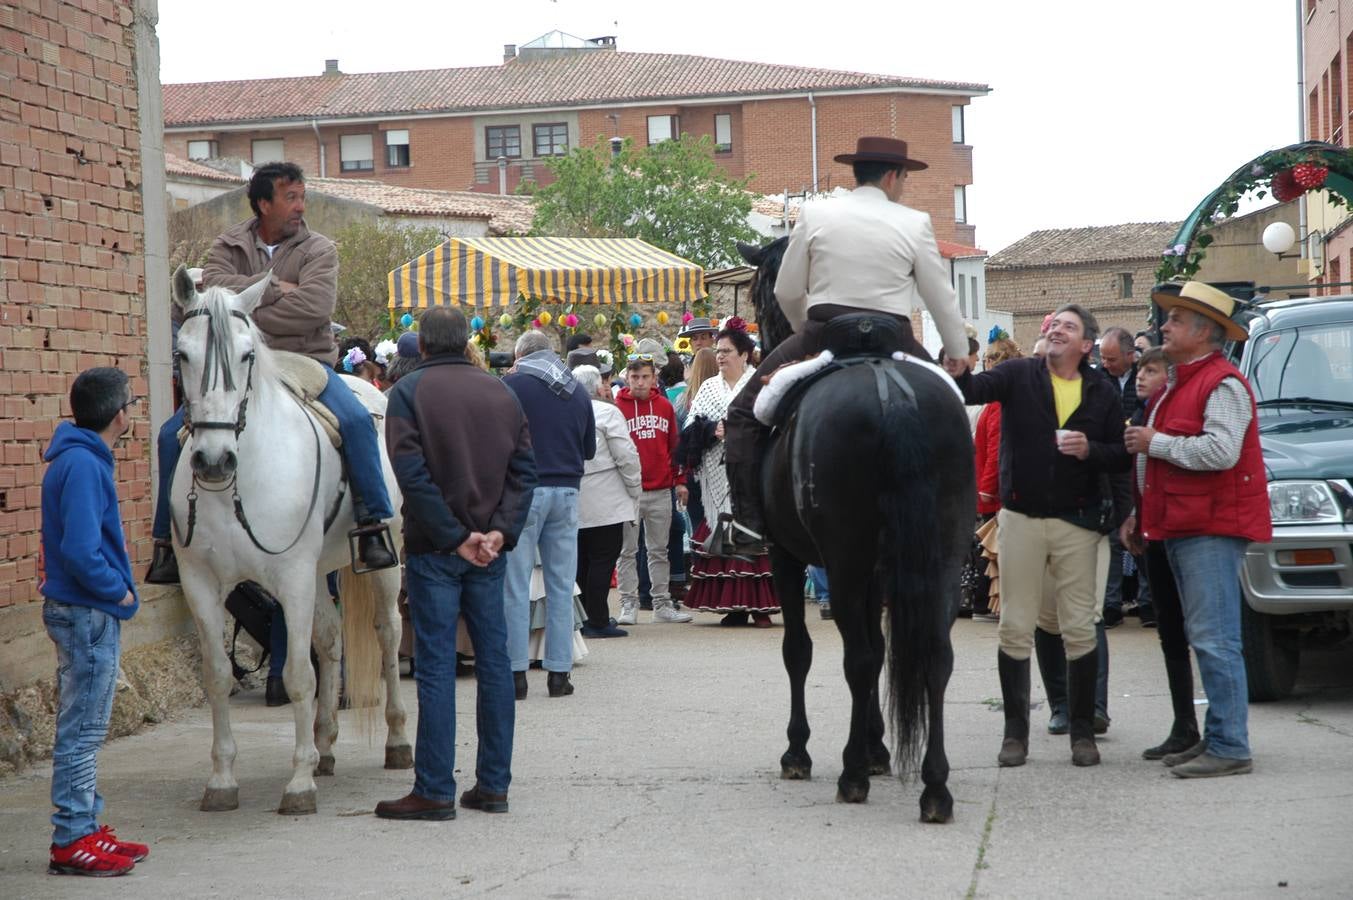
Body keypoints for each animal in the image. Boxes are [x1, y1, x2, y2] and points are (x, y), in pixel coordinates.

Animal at [165, 265, 405, 812]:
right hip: (318, 573)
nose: (214, 461)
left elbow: (298, 675)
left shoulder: (291, 576)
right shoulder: (201, 582)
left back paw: (398, 741)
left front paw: (299, 784)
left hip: (384, 564)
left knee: (387, 634)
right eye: (182, 354)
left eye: (247, 355)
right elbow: (217, 675)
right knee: (331, 641)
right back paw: (325, 745)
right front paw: (223, 780)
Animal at [736, 236, 979, 822]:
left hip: (843, 560)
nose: (759, 340)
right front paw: (877, 747)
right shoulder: (878, 569)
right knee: (935, 655)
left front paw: (801, 751)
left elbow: (799, 650)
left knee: (859, 658)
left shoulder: (788, 557)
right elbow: (881, 643)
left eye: (760, 293)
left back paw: (850, 776)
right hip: (940, 554)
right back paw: (935, 788)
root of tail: (891, 392)